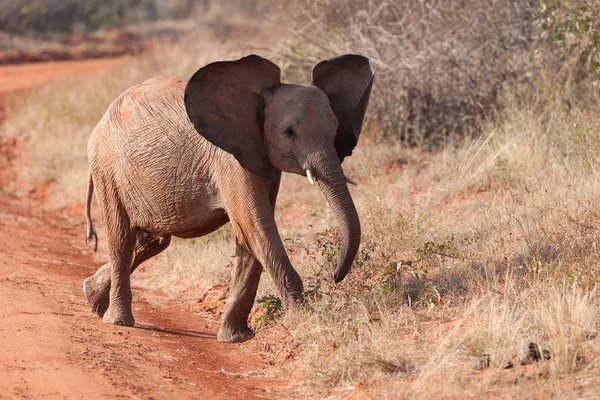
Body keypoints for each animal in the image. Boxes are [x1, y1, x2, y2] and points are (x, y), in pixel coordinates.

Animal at [83, 54, 376, 344]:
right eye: (289, 132)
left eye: (335, 130)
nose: (335, 276)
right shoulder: (230, 159)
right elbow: (256, 227)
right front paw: (302, 320)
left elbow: (248, 237)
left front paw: (235, 338)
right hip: (106, 167)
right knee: (122, 238)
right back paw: (118, 320)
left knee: (153, 241)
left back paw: (92, 297)